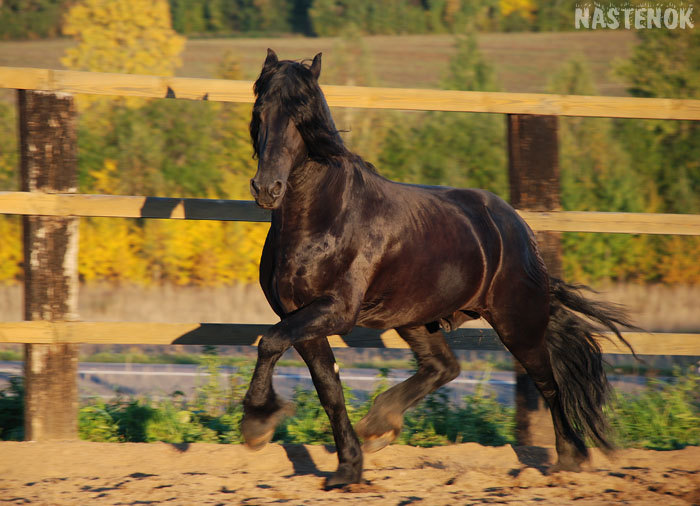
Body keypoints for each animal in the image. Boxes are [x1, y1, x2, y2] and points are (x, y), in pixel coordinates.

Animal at [241, 49, 636, 488]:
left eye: (302, 116)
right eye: (260, 110)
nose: (267, 188)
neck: (324, 217)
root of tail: (517, 227)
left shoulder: (335, 311)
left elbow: (270, 342)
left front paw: (257, 424)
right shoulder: (299, 314)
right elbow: (326, 386)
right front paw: (347, 468)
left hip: (517, 324)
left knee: (548, 384)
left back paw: (569, 460)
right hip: (415, 318)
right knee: (444, 367)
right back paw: (378, 426)